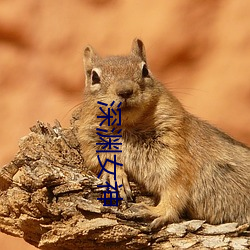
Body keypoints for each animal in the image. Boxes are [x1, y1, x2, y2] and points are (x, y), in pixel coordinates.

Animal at [77, 38, 249, 229]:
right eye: (94, 77)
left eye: (145, 70)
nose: (125, 91)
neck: (127, 127)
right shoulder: (90, 141)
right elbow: (99, 160)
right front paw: (116, 177)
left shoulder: (175, 154)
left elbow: (175, 189)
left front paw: (156, 211)